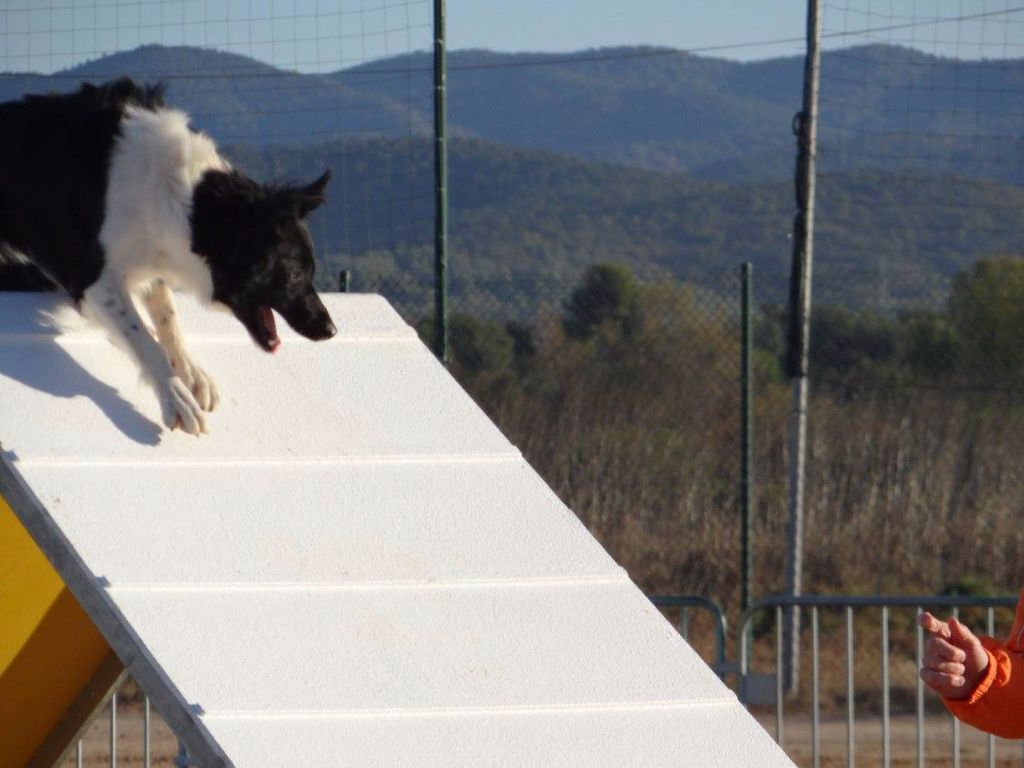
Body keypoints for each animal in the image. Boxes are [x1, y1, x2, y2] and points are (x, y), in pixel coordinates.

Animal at [0, 81, 337, 438]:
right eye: (294, 276)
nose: (330, 329)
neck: (191, 206)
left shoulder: (151, 258)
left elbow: (168, 319)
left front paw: (191, 372)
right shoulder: (91, 277)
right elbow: (142, 338)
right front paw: (175, 397)